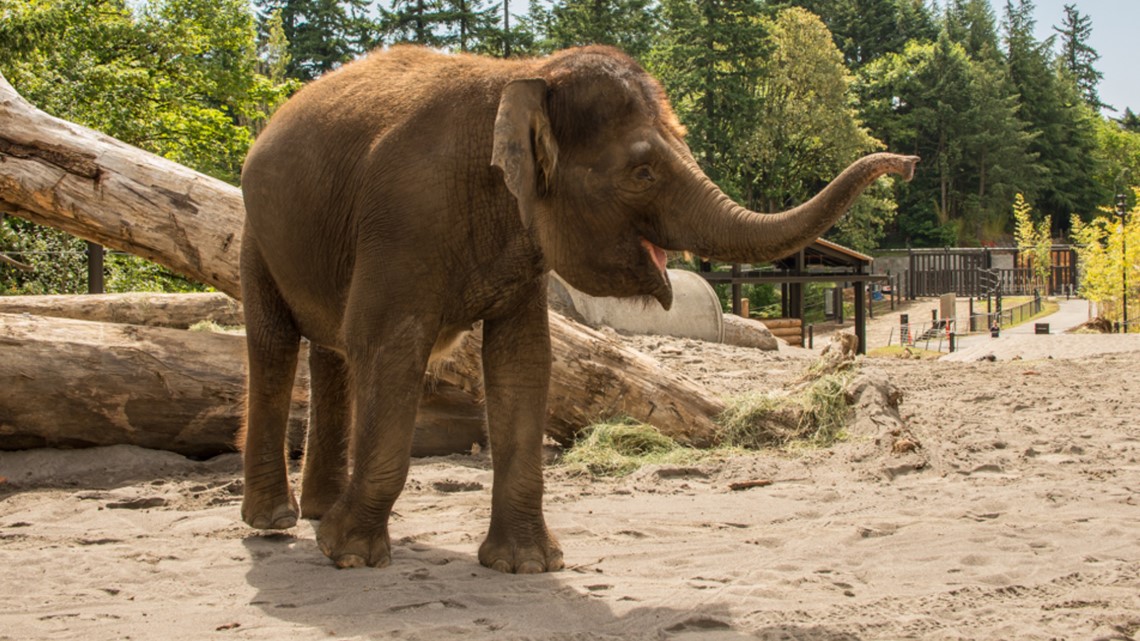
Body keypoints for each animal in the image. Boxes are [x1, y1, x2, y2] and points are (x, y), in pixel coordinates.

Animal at [240, 46, 916, 574]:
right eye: (642, 171)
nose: (906, 163)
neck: (522, 73)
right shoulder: (402, 221)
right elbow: (387, 347)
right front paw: (348, 555)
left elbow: (522, 364)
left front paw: (527, 565)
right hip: (257, 234)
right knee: (275, 347)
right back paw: (276, 521)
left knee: (330, 353)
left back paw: (317, 511)